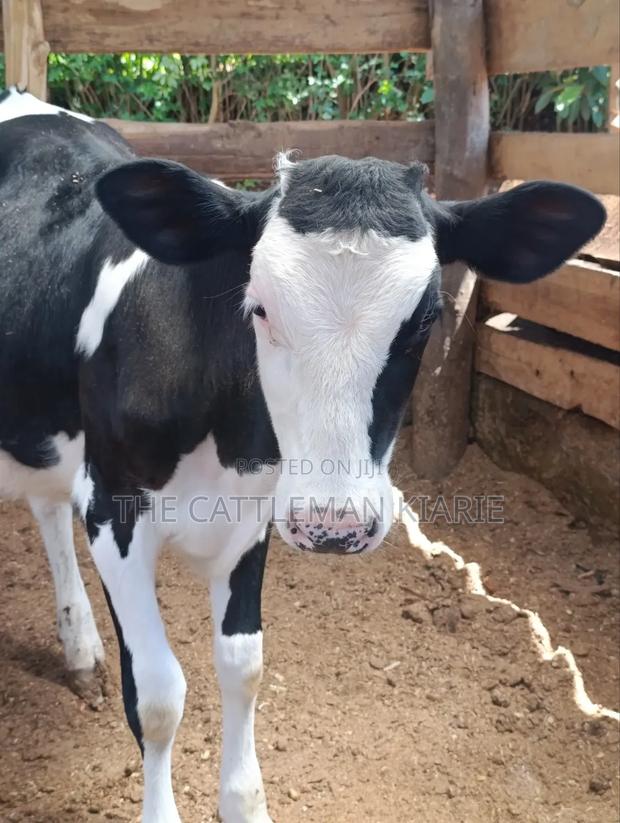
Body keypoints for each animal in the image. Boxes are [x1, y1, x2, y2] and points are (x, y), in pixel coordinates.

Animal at [0, 86, 605, 822]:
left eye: (427, 318)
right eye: (259, 308)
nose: (334, 525)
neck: (225, 438)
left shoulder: (256, 512)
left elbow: (243, 665)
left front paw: (245, 804)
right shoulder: (112, 505)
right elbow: (159, 693)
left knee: (44, 506)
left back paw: (80, 647)